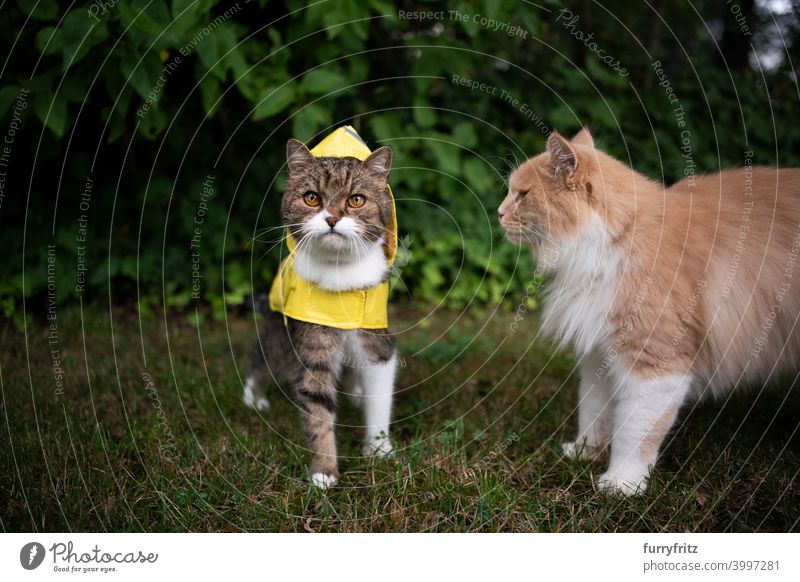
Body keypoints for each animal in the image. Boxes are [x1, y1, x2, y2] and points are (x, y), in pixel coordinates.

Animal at [500, 131, 800, 498]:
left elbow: (633, 433)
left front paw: (621, 484)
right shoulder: (599, 355)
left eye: (522, 194)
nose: (498, 212)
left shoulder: (654, 363)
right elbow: (594, 412)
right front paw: (585, 453)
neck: (615, 241)